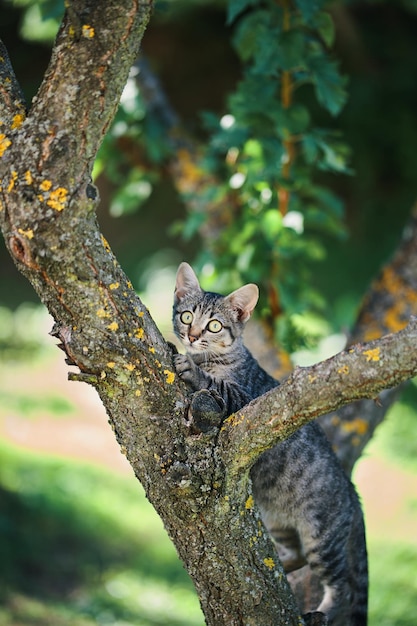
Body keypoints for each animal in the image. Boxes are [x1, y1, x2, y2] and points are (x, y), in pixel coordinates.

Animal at [171, 260, 366, 620]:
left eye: (214, 325)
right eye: (187, 316)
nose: (191, 336)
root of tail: (351, 489)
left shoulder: (243, 399)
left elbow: (216, 385)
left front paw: (191, 368)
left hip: (322, 536)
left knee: (341, 586)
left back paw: (323, 613)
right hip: (279, 522)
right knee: (297, 556)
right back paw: (281, 571)